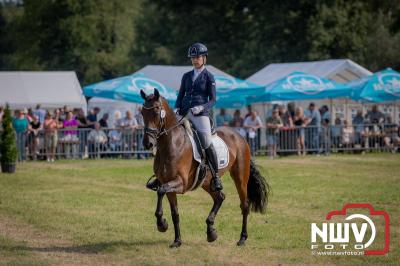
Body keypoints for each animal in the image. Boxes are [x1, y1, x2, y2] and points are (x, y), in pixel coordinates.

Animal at [140, 89, 268, 247]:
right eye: (142, 113)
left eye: (156, 111)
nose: (148, 143)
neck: (171, 144)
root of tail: (240, 136)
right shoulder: (167, 183)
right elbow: (174, 212)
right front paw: (176, 240)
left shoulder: (180, 183)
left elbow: (161, 191)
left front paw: (162, 224)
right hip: (207, 181)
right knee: (220, 197)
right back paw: (211, 231)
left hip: (240, 177)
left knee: (244, 205)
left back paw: (242, 238)